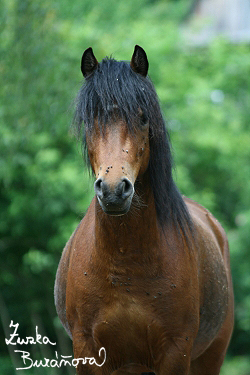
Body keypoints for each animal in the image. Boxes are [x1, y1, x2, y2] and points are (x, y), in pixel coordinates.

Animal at [53, 46, 233, 375]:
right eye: (90, 119)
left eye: (143, 117)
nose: (113, 190)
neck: (126, 263)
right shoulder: (87, 351)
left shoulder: (175, 352)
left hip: (210, 357)